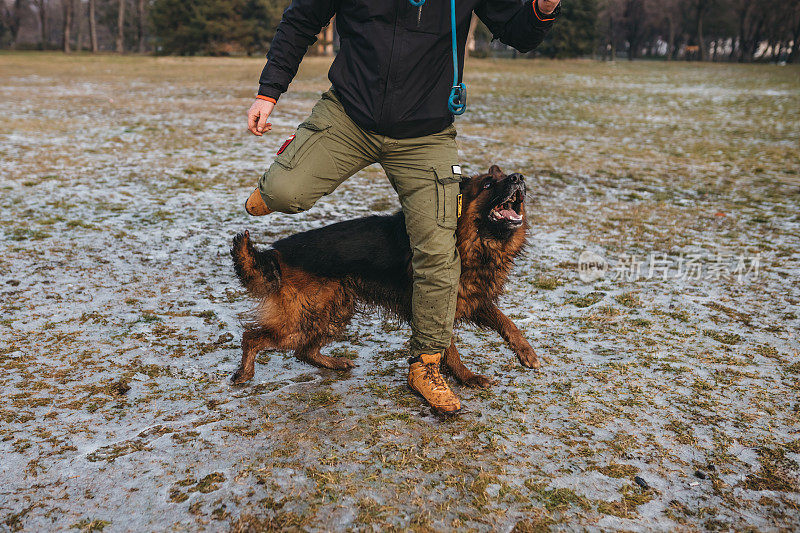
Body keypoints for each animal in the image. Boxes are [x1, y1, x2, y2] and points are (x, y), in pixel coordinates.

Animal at [231, 164, 540, 384]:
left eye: (502, 177)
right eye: (487, 184)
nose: (518, 177)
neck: (469, 241)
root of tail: (277, 252)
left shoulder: (474, 298)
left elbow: (507, 323)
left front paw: (527, 352)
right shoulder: (437, 304)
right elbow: (448, 348)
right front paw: (466, 377)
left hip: (334, 310)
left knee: (304, 351)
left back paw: (334, 363)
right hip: (305, 316)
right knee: (253, 337)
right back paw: (244, 373)